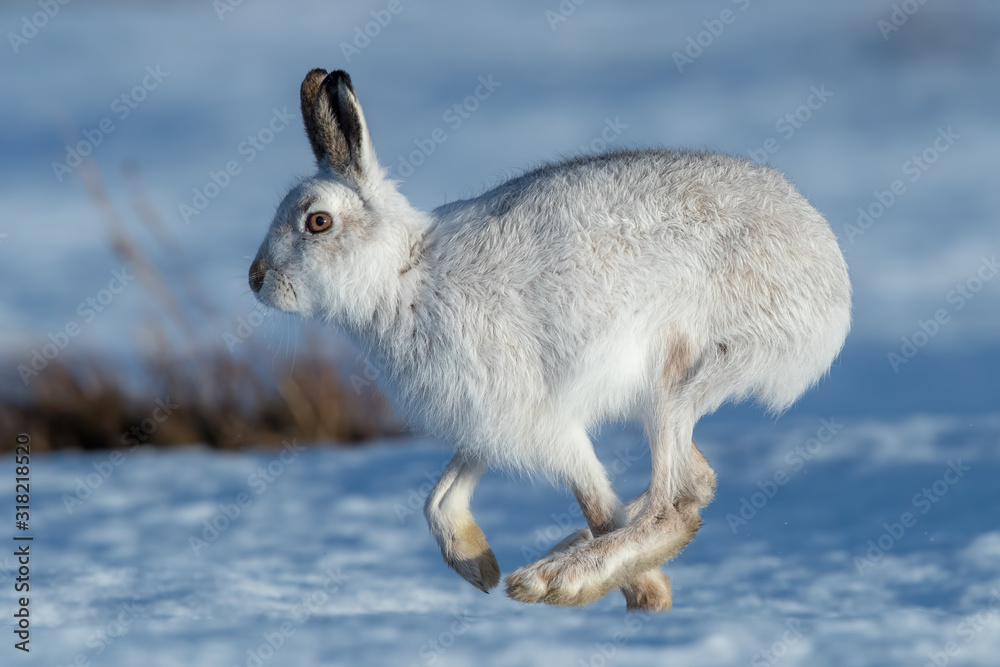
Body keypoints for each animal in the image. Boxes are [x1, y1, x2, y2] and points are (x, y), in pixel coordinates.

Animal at [249, 69, 852, 611]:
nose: (256, 280)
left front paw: (647, 596)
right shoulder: (487, 419)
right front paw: (478, 567)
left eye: (318, 222)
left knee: (677, 503)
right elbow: (439, 499)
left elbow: (595, 501)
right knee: (696, 482)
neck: (404, 273)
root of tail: (828, 272)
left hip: (679, 379)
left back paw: (558, 579)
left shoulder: (543, 419)